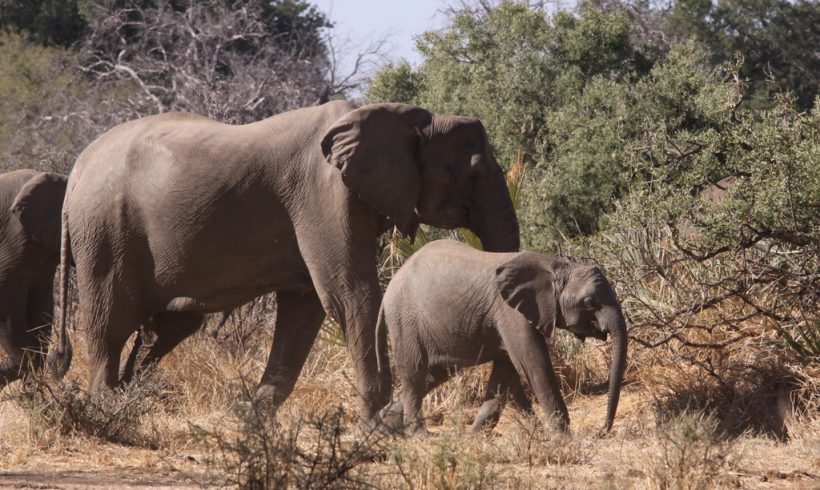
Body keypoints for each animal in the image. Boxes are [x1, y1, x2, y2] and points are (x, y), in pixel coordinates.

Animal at [54, 101, 519, 424]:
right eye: (473, 174)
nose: (483, 422)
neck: (405, 118)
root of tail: (76, 169)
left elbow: (304, 308)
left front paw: (249, 418)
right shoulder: (324, 194)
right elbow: (350, 295)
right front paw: (377, 426)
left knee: (171, 325)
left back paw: (129, 395)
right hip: (105, 231)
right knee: (110, 321)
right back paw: (106, 405)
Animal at [375, 240, 627, 434]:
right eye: (589, 303)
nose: (602, 431)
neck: (556, 266)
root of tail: (387, 290)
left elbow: (506, 371)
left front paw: (474, 437)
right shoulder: (511, 313)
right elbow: (533, 364)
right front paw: (562, 437)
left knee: (432, 375)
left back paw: (380, 428)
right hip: (404, 322)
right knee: (415, 374)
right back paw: (418, 434)